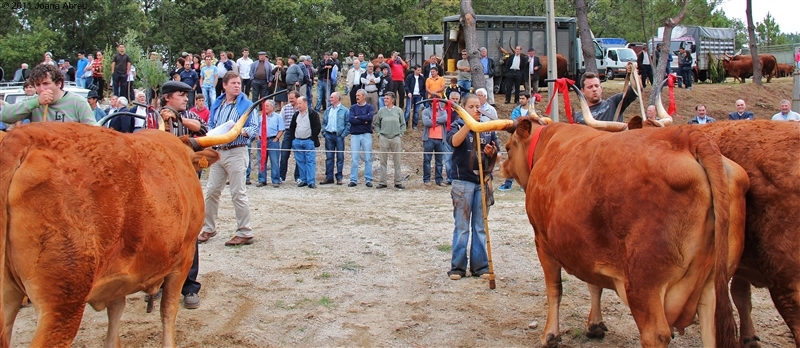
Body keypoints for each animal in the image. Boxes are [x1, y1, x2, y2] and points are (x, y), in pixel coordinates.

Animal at [0, 109, 252, 346]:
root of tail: (23, 138)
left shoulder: (118, 276)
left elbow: (115, 321)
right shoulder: (184, 257)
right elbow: (168, 311)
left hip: (10, 300)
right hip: (63, 304)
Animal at [456, 90, 752, 348]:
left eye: (508, 145)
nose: (502, 165)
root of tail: (688, 137)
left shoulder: (543, 240)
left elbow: (555, 289)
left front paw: (550, 335)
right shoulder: (587, 246)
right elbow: (594, 284)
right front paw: (595, 325)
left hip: (644, 285)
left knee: (655, 334)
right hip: (713, 286)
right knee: (713, 331)